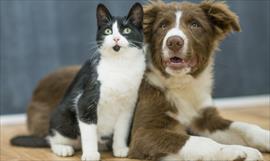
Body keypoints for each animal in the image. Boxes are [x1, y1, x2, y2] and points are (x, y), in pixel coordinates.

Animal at [10, 2, 144, 161]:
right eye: (108, 31)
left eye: (127, 30)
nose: (116, 38)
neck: (120, 65)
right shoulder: (85, 100)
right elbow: (88, 131)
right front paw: (91, 154)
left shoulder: (128, 106)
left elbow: (122, 129)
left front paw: (120, 149)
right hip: (63, 118)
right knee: (53, 139)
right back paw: (63, 148)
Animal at [24, 0, 268, 160]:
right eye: (163, 26)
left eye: (195, 25)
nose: (174, 42)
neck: (180, 86)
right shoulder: (144, 133)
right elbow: (198, 141)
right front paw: (233, 151)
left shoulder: (204, 117)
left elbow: (245, 126)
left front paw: (263, 138)